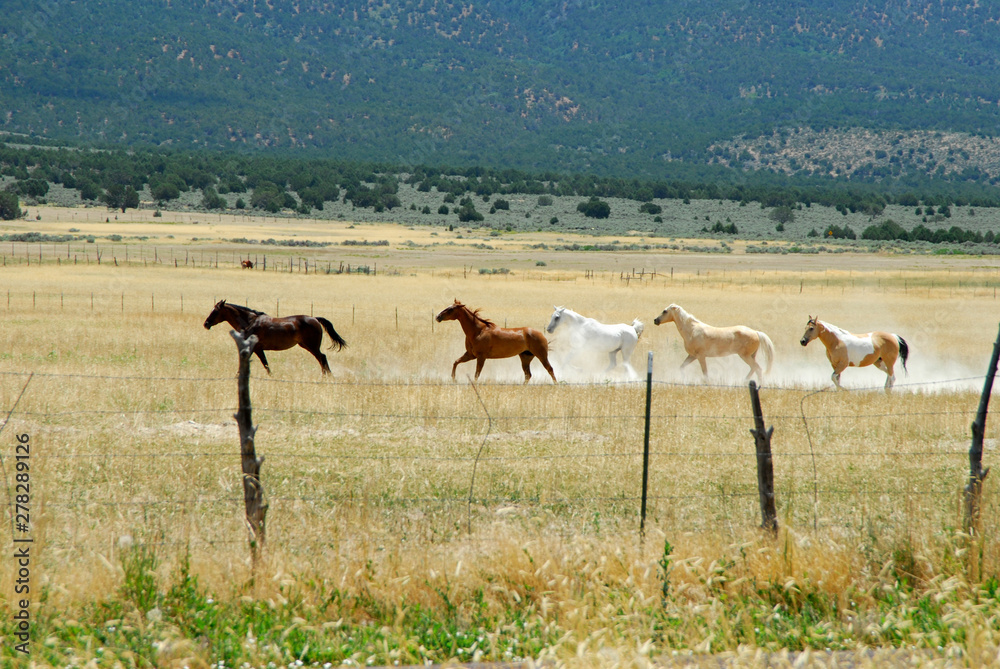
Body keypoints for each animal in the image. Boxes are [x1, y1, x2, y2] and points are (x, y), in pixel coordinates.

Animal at [203, 299, 347, 375]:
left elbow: (263, 363)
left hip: (311, 346)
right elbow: (264, 364)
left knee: (322, 358)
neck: (250, 322)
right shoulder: (257, 349)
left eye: (215, 311)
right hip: (306, 345)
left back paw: (327, 376)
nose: (206, 324)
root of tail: (315, 319)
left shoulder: (255, 348)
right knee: (321, 358)